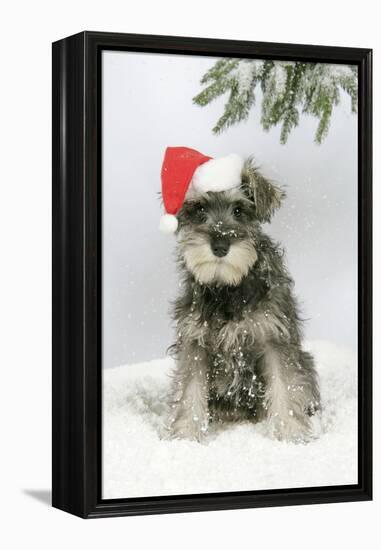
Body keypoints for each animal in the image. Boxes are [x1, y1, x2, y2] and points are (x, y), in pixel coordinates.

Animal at [166, 156, 318, 444]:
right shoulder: (194, 342)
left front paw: (291, 434)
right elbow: (190, 391)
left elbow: (285, 386)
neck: (227, 287)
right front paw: (187, 435)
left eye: (239, 210)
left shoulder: (274, 337)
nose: (220, 246)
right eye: (199, 209)